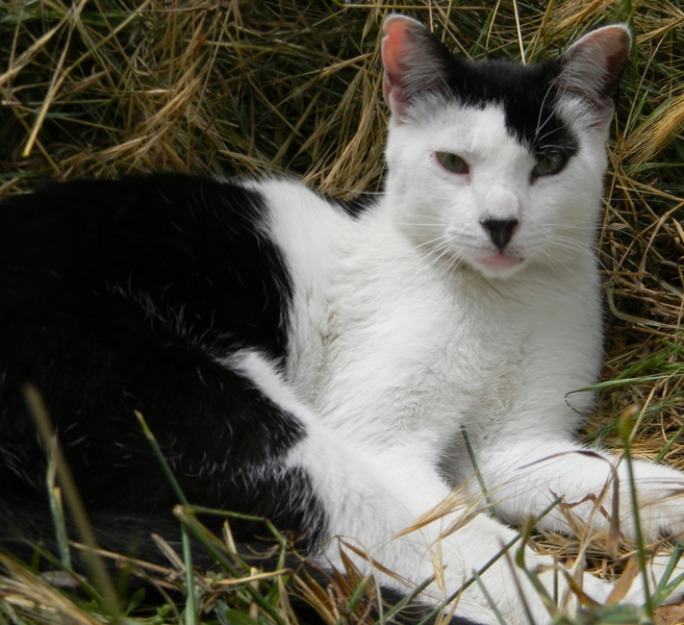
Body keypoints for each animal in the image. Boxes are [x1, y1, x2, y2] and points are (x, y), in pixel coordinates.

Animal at [1, 14, 684, 624]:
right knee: (411, 551)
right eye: (453, 163)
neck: (504, 301)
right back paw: (629, 596)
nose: (500, 222)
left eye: (547, 164)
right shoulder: (383, 442)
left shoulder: (513, 449)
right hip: (226, 420)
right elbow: (470, 539)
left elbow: (629, 482)